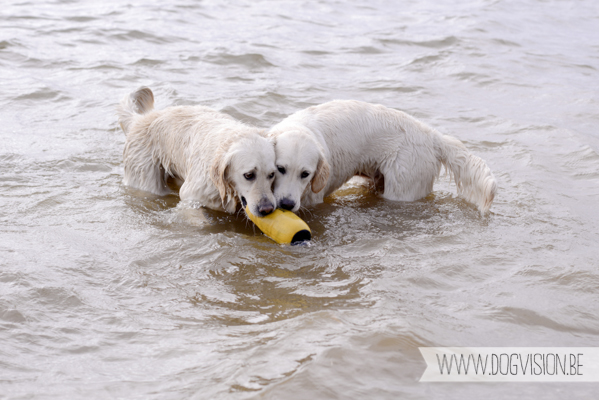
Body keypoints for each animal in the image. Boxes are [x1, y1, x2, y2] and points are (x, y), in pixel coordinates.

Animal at [117, 86, 278, 216]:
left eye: (272, 175)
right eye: (249, 175)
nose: (267, 209)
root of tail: (140, 119)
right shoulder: (192, 196)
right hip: (145, 179)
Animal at [270, 100, 500, 216]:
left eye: (305, 174)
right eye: (280, 169)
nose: (286, 204)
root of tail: (433, 137)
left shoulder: (313, 198)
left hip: (403, 187)